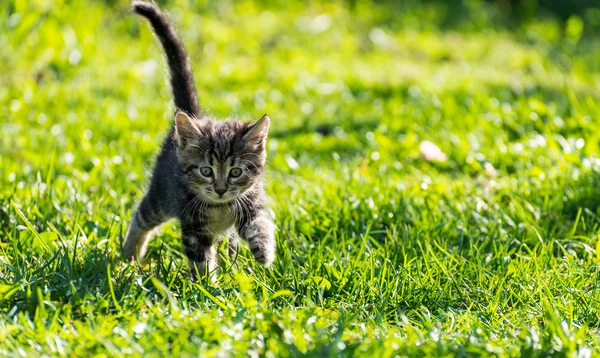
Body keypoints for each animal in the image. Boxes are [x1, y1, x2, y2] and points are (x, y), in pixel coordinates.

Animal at [127, 0, 278, 280]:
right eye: (206, 170)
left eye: (236, 171)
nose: (220, 189)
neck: (220, 207)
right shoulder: (193, 226)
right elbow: (200, 259)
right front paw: (206, 285)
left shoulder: (252, 201)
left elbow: (261, 222)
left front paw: (263, 250)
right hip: (161, 195)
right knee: (141, 216)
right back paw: (128, 255)